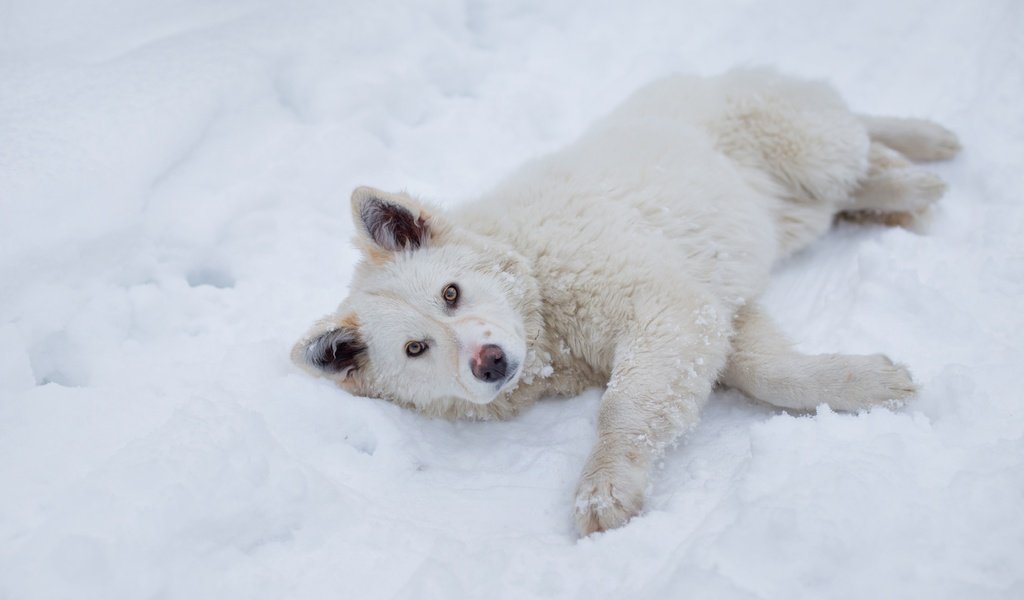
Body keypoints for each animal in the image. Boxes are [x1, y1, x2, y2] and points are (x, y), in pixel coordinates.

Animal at [290, 69, 958, 532]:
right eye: (416, 348)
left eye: (450, 293)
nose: (489, 363)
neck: (541, 298)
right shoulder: (712, 311)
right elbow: (769, 372)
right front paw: (864, 383)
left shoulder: (665, 305)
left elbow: (623, 408)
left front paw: (604, 485)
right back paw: (904, 184)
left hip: (805, 146)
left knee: (857, 136)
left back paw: (919, 156)